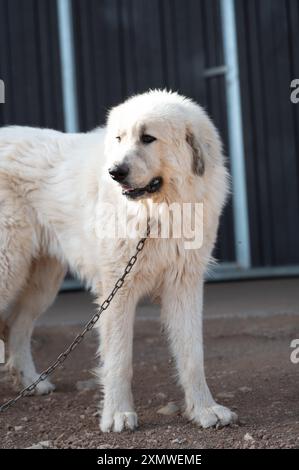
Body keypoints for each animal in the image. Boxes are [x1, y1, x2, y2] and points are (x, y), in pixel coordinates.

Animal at [0, 90, 239, 432]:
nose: (115, 172)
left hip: (43, 281)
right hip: (10, 268)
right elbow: (118, 359)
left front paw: (205, 410)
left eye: (148, 138)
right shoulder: (117, 289)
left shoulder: (184, 285)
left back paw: (32, 383)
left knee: (17, 325)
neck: (158, 213)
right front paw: (117, 414)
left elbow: (193, 356)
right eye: (119, 138)